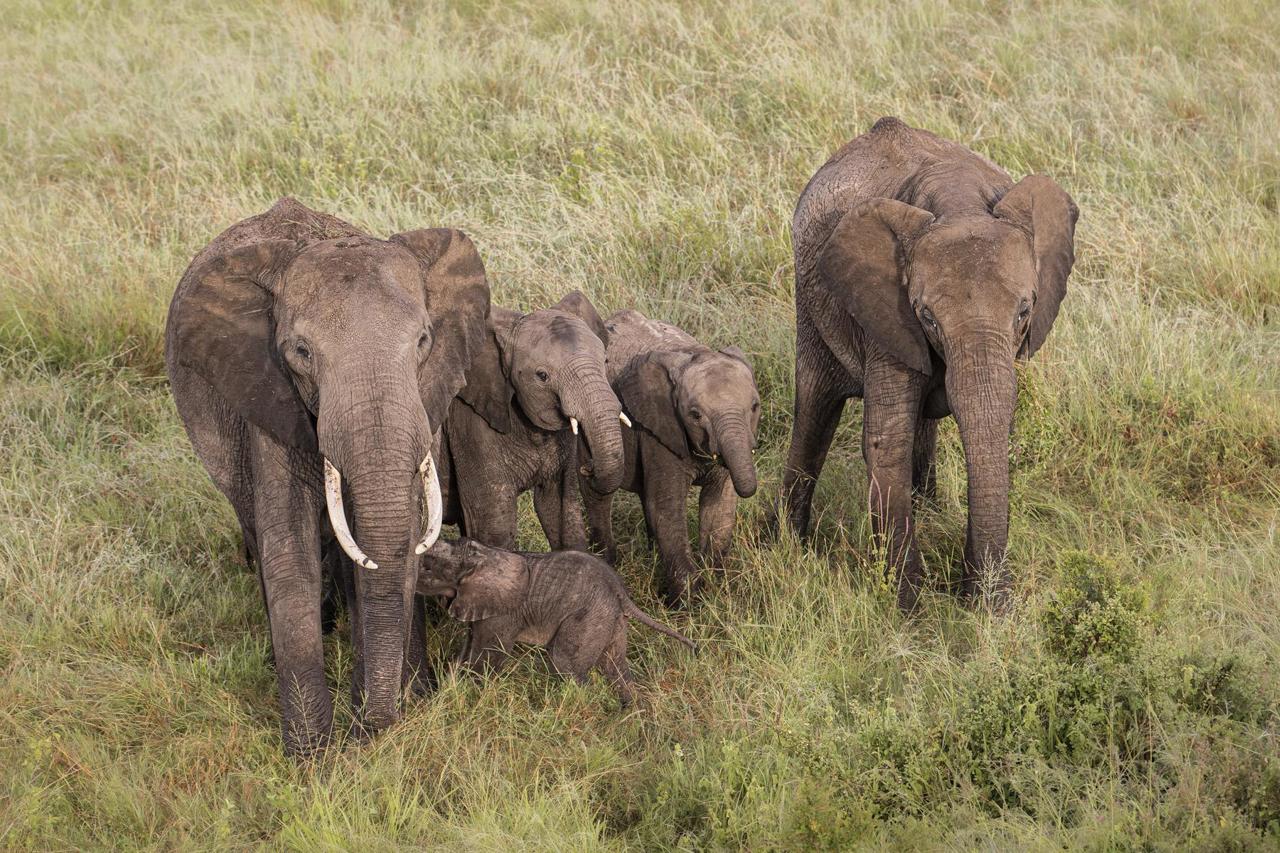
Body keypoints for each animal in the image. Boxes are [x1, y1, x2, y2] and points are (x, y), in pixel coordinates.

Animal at [165, 197, 491, 756]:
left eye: (423, 340)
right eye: (301, 352)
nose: (373, 729)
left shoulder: (425, 396)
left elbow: (401, 533)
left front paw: (398, 710)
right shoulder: (267, 396)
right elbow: (288, 546)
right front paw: (313, 757)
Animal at [419, 537, 695, 705]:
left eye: (428, 568)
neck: (483, 556)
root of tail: (620, 591)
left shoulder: (503, 613)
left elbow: (485, 659)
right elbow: (467, 649)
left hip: (590, 615)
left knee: (565, 662)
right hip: (610, 618)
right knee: (615, 666)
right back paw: (631, 710)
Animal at [436, 292, 625, 550]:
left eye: (605, 361)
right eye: (542, 376)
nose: (588, 467)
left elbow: (560, 510)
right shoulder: (469, 425)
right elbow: (493, 526)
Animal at [582, 310, 761, 605]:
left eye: (755, 407)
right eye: (695, 415)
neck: (694, 353)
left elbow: (719, 504)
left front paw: (716, 588)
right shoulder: (659, 427)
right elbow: (667, 507)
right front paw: (689, 604)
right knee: (599, 494)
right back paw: (605, 560)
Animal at [779, 117, 1078, 611]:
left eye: (1024, 311)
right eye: (927, 316)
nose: (988, 603)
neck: (958, 201)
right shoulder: (885, 309)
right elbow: (888, 441)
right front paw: (909, 609)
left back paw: (930, 510)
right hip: (810, 303)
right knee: (815, 406)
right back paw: (786, 545)